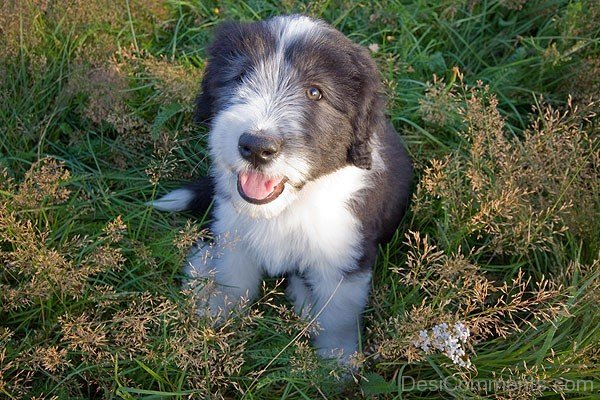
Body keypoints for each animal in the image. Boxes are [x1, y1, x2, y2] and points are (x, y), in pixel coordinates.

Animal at [151, 14, 412, 364]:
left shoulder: (344, 258)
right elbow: (235, 279)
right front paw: (220, 314)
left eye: (314, 92)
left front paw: (338, 364)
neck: (287, 206)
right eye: (240, 77)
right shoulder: (235, 231)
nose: (256, 147)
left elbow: (337, 316)